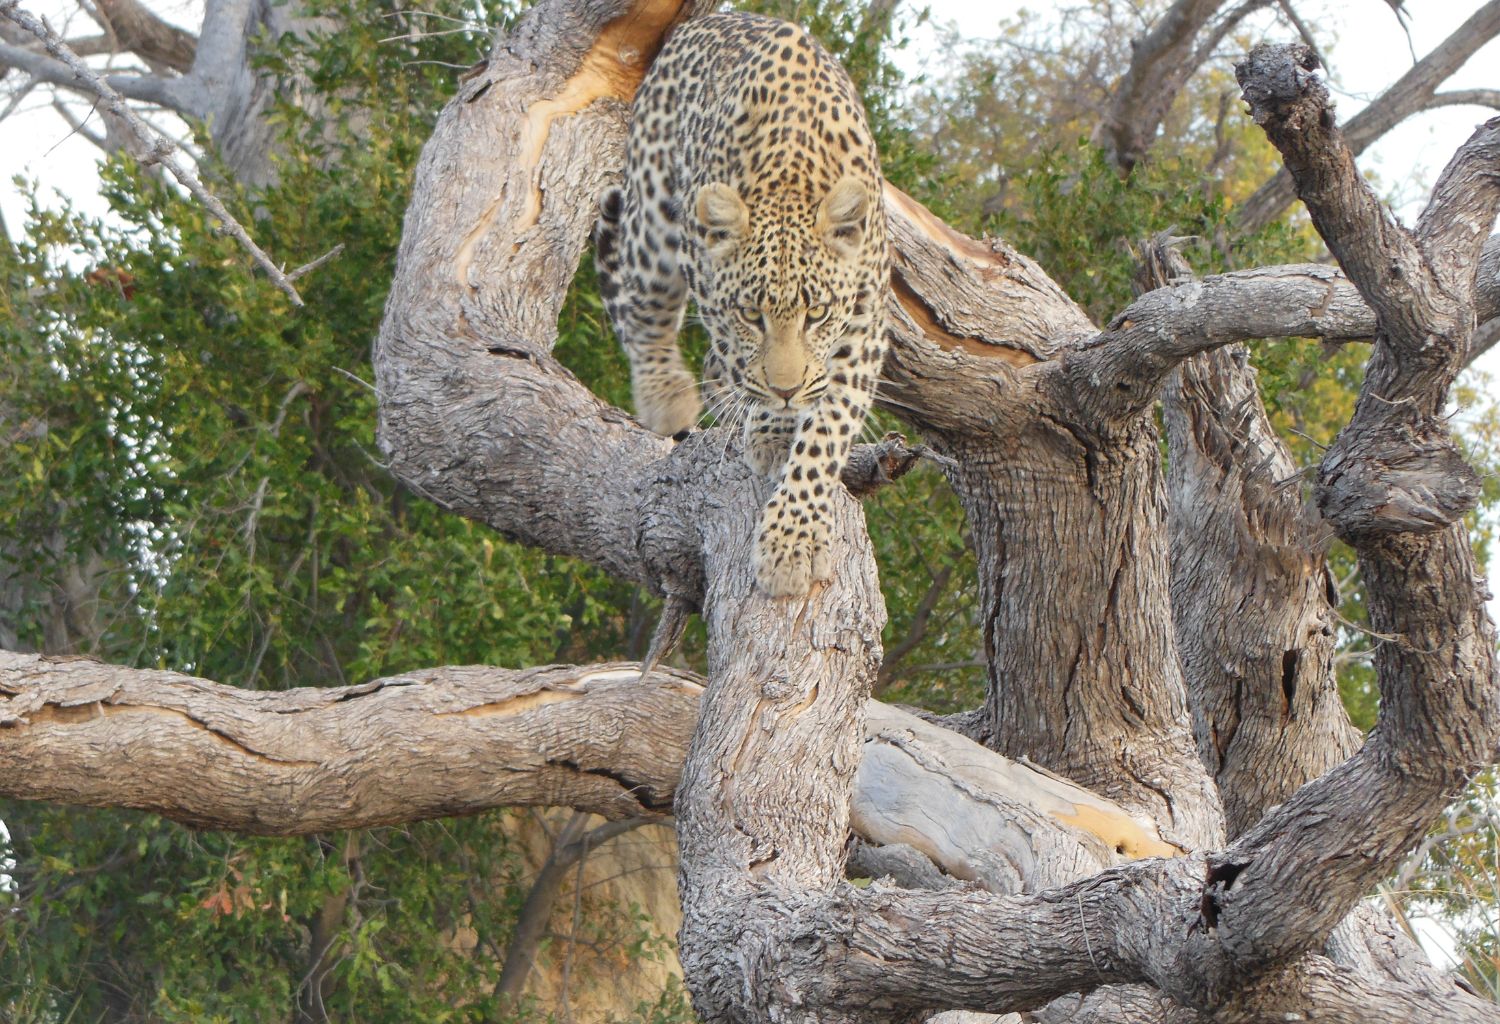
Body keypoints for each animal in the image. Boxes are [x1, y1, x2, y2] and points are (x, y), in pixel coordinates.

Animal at [593, 11, 890, 599]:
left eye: (817, 314)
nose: (787, 390)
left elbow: (827, 431)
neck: (793, 178)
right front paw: (771, 425)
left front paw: (793, 538)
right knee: (646, 313)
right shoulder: (713, 290)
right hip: (654, 213)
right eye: (752, 315)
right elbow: (745, 366)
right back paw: (669, 395)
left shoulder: (865, 328)